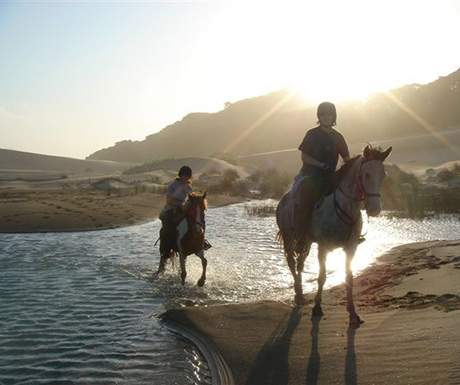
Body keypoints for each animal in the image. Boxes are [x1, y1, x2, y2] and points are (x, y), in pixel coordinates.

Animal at [276, 146, 392, 322]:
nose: (375, 209)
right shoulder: (323, 247)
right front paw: (317, 308)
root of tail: (284, 199)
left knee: (300, 263)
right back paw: (298, 294)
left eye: (383, 175)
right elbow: (322, 276)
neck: (344, 208)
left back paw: (301, 294)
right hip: (288, 236)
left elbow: (349, 276)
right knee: (291, 262)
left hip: (307, 242)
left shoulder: (351, 247)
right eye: (366, 174)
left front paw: (353, 312)